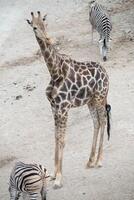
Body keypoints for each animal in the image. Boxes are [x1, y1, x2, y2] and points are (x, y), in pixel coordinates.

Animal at [26, 11, 111, 189]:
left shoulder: (64, 108)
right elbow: (56, 137)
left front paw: (59, 179)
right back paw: (90, 160)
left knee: (103, 121)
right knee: (97, 123)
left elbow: (62, 140)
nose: (49, 39)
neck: (55, 71)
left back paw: (99, 160)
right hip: (91, 101)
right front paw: (53, 174)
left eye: (45, 23)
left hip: (100, 97)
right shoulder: (54, 108)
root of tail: (106, 73)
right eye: (34, 27)